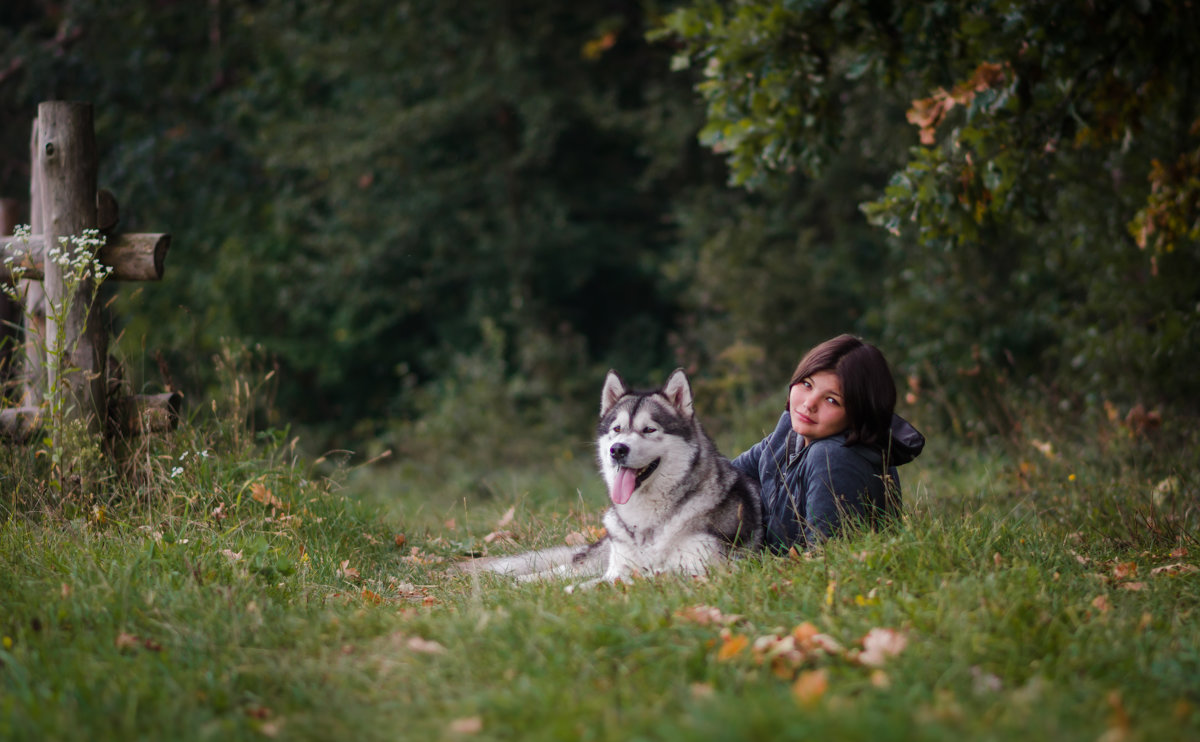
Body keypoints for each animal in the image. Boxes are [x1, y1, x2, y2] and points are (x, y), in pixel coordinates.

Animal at [465, 367, 758, 585]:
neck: (645, 518)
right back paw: (522, 582)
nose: (617, 449)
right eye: (617, 429)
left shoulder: (699, 570)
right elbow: (598, 579)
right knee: (567, 568)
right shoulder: (618, 568)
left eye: (649, 429)